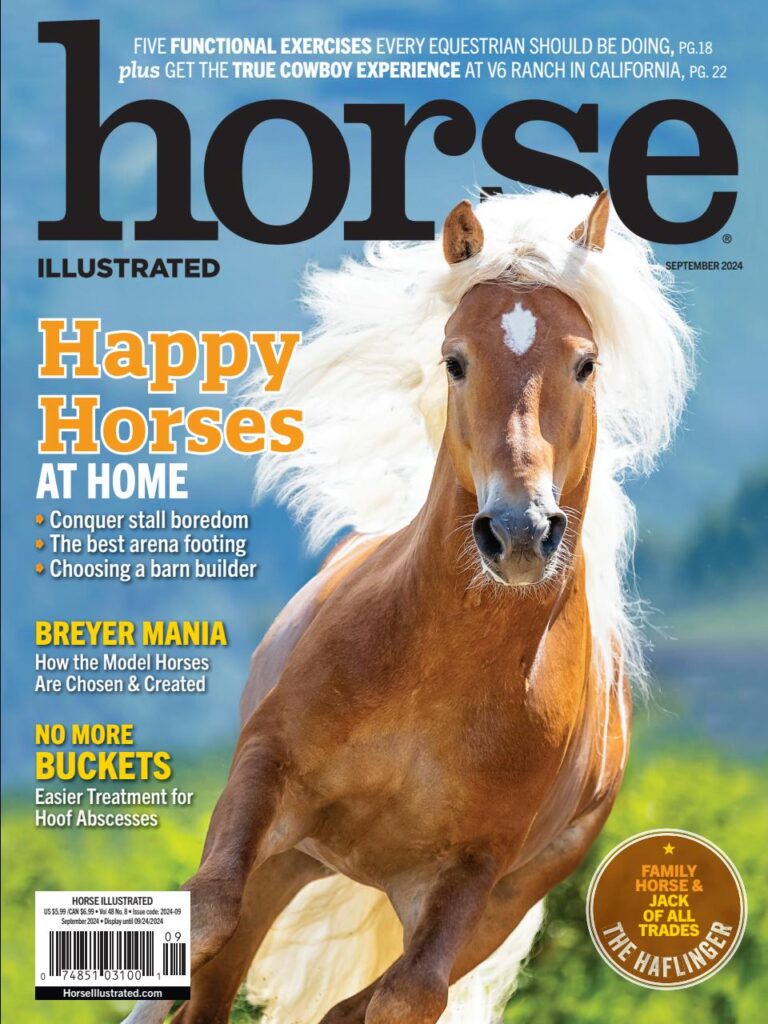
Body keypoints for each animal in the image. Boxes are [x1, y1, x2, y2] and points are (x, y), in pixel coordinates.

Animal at [124, 188, 693, 1024]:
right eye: (455, 360)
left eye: (585, 363)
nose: (519, 532)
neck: (437, 669)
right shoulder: (264, 776)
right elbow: (205, 917)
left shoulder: (473, 872)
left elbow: (405, 997)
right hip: (289, 856)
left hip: (481, 910)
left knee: (349, 1004)